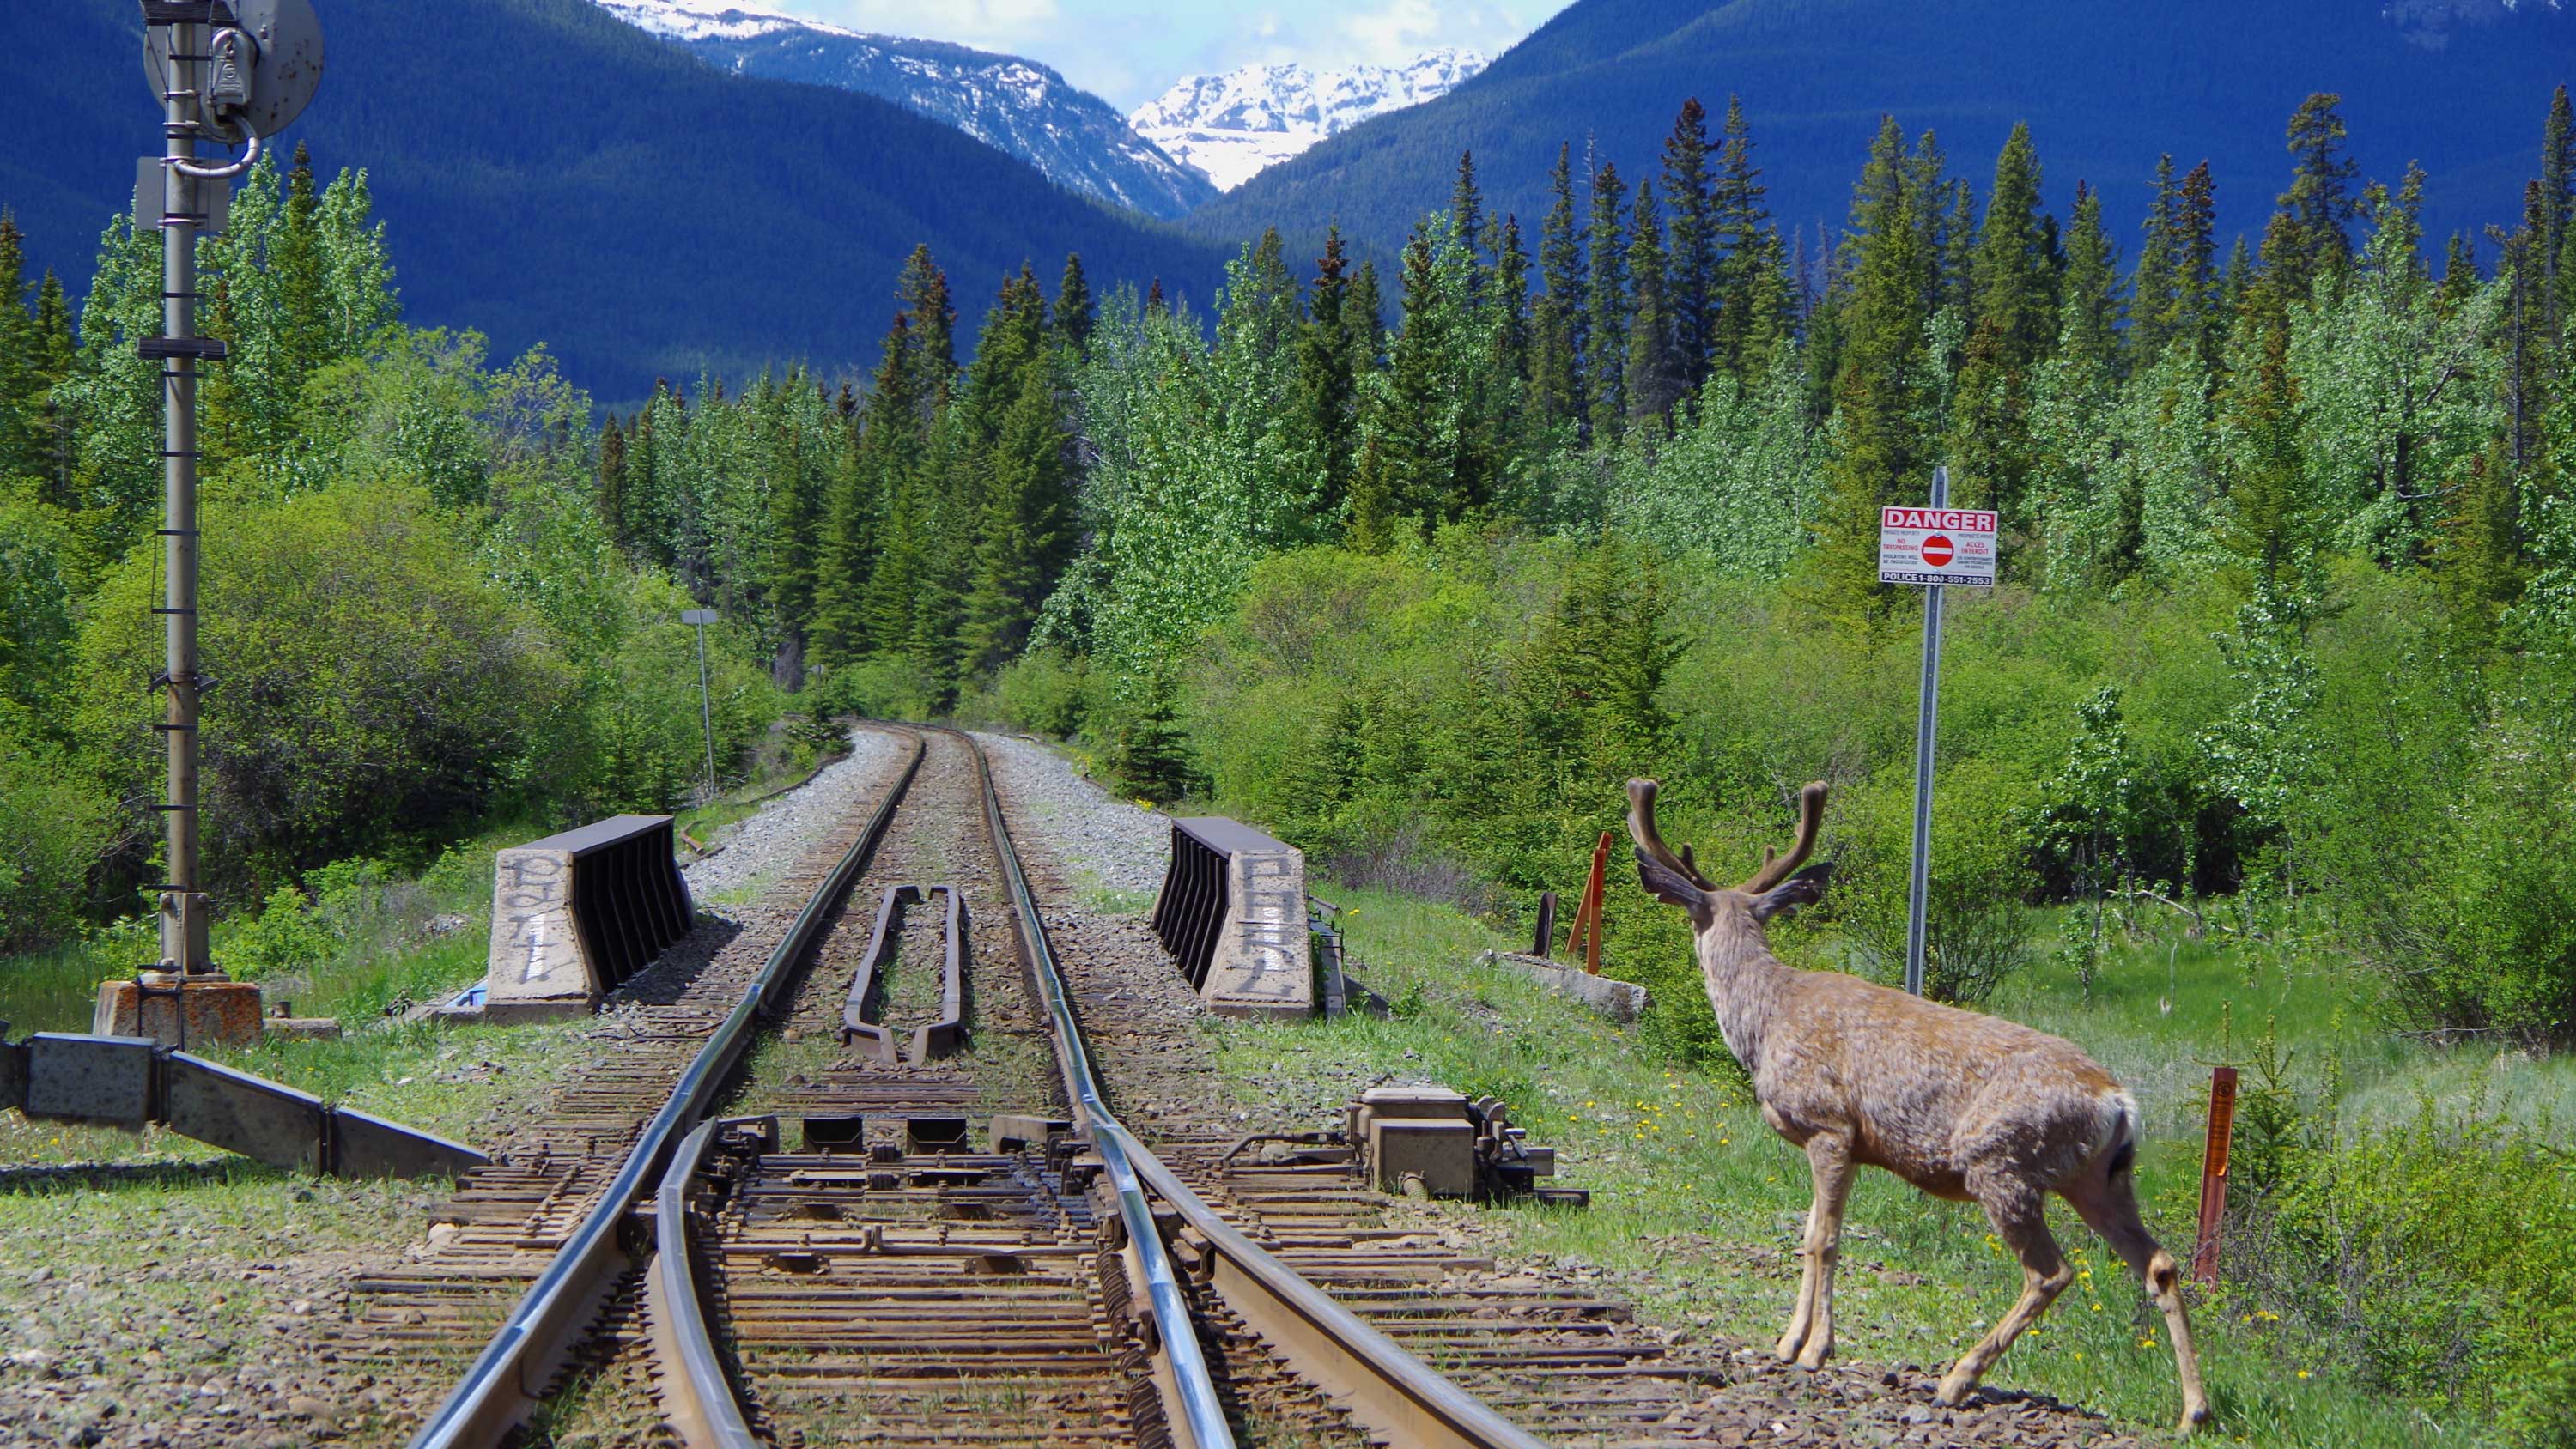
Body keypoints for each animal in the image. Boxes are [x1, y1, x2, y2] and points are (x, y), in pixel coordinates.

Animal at [1628, 777, 2215, 1431]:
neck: (1768, 1019)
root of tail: (2119, 1101)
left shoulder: (1829, 1126)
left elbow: (1824, 1238)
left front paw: (1814, 1350)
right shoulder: (1842, 1144)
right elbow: (1809, 1231)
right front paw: (1786, 1342)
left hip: (2000, 1161)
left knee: (2051, 1271)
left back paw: (1957, 1380)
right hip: (2097, 1179)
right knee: (2158, 1263)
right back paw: (2194, 1410)